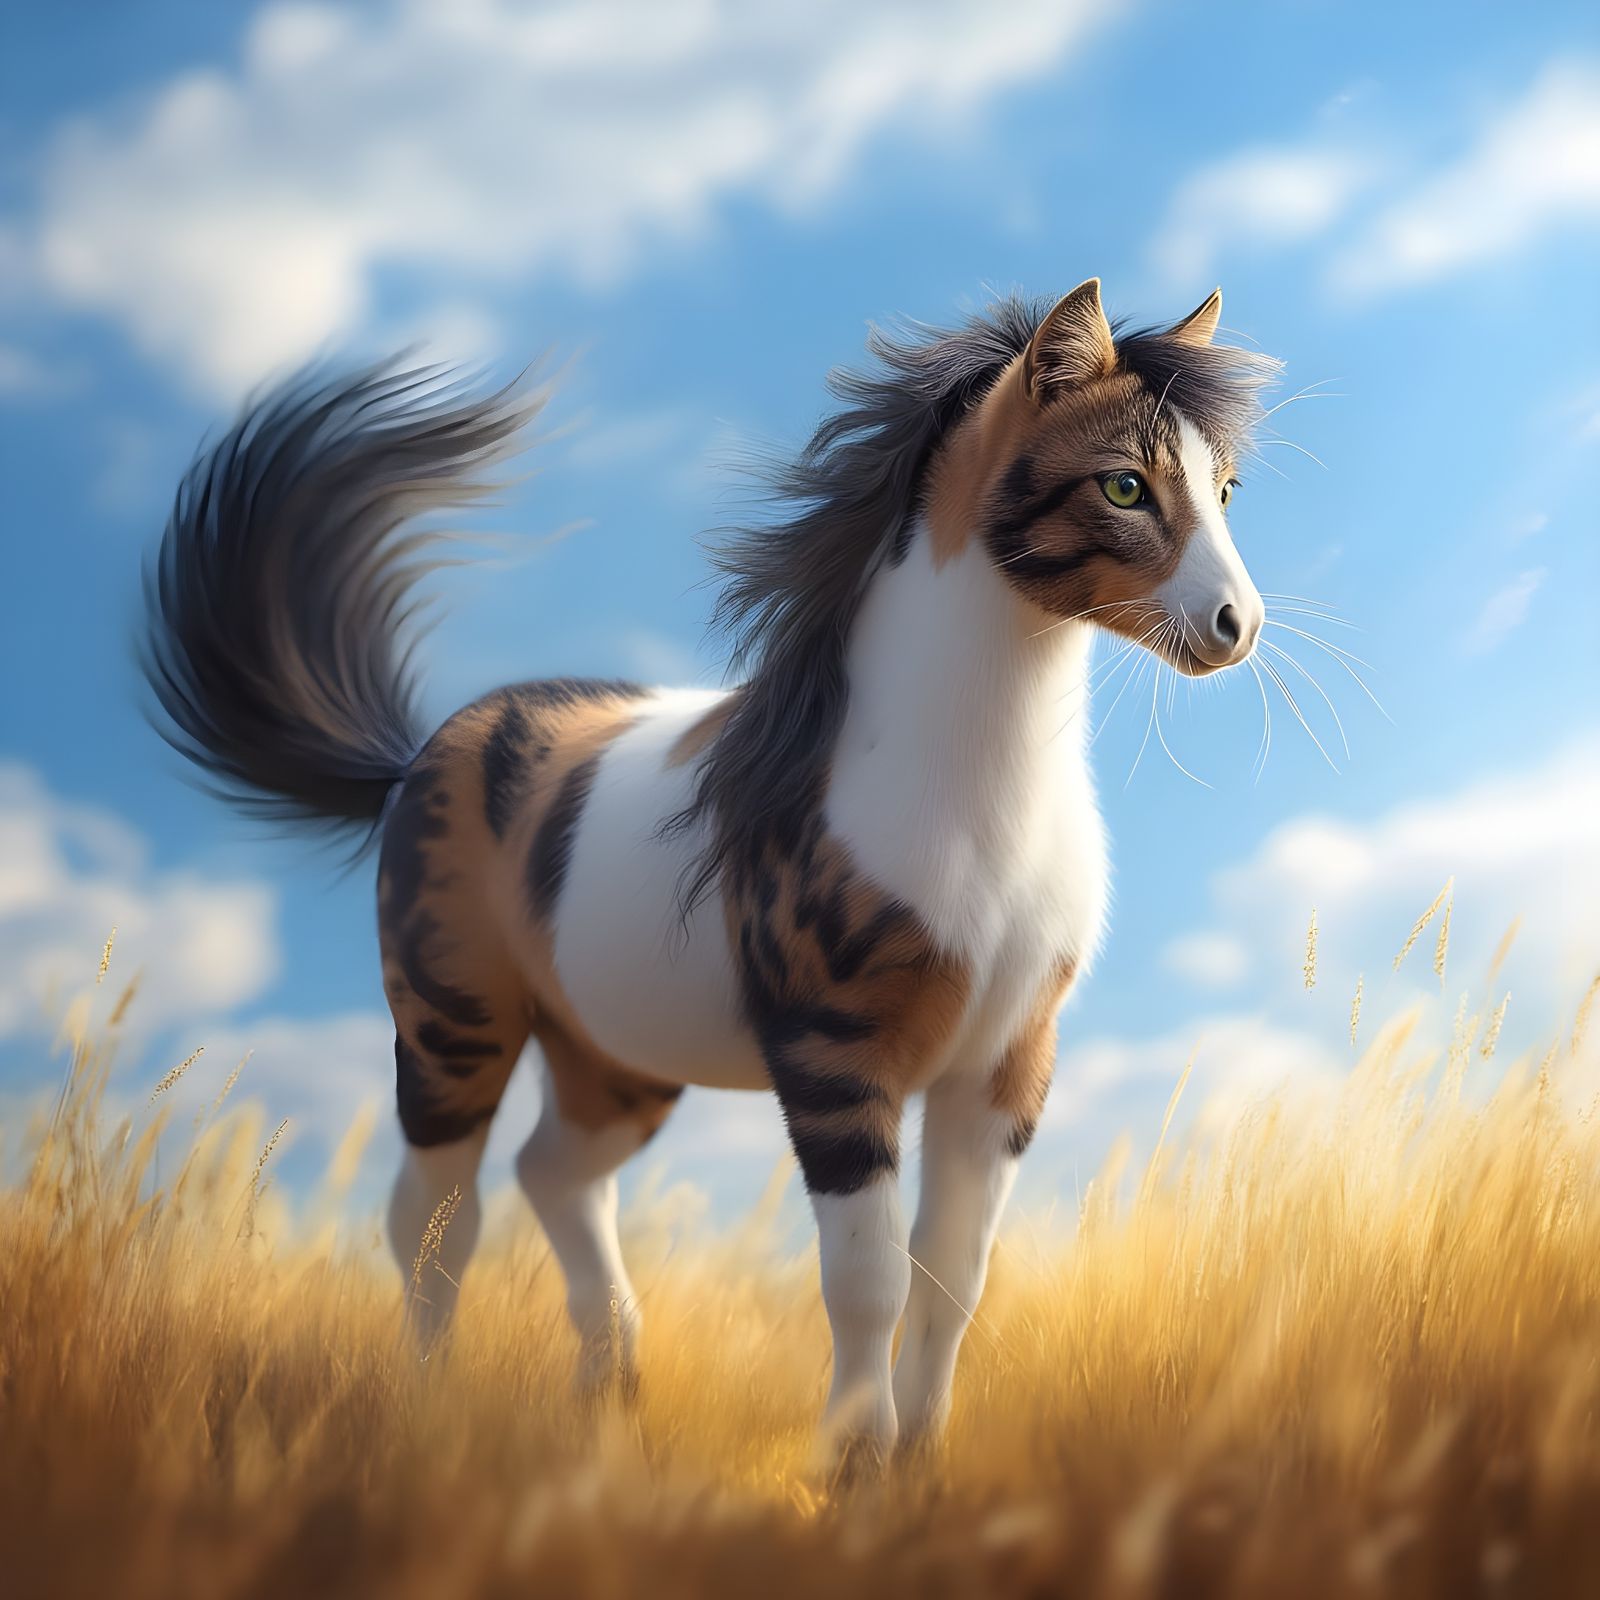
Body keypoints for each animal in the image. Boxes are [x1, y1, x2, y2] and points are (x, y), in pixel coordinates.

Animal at [143, 277, 1277, 1464]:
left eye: (1225, 488)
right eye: (1124, 485)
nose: (1237, 626)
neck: (974, 799)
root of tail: (414, 759)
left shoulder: (1004, 1067)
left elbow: (951, 1282)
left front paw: (920, 1467)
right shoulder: (834, 1055)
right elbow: (866, 1281)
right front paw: (852, 1466)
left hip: (613, 1057)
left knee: (552, 1173)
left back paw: (613, 1397)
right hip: (454, 1025)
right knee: (432, 1220)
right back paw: (431, 1412)